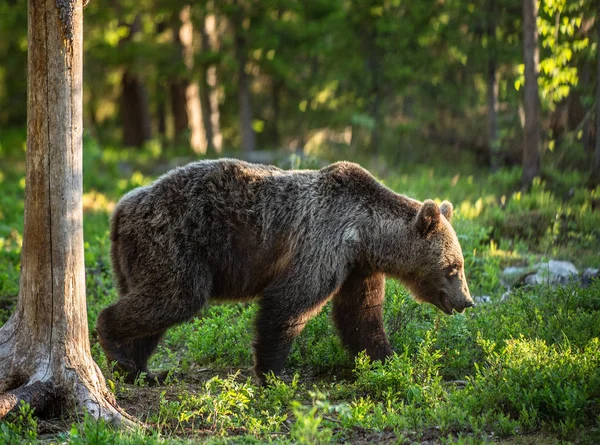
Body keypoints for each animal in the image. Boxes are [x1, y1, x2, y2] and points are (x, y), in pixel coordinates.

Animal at [97, 159, 474, 382]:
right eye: (453, 267)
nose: (467, 301)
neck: (365, 235)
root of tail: (120, 209)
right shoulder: (322, 244)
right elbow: (289, 303)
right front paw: (273, 373)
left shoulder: (357, 268)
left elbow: (361, 316)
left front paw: (387, 359)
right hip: (175, 241)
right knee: (175, 298)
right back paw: (115, 346)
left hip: (139, 258)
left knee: (154, 308)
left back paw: (138, 368)